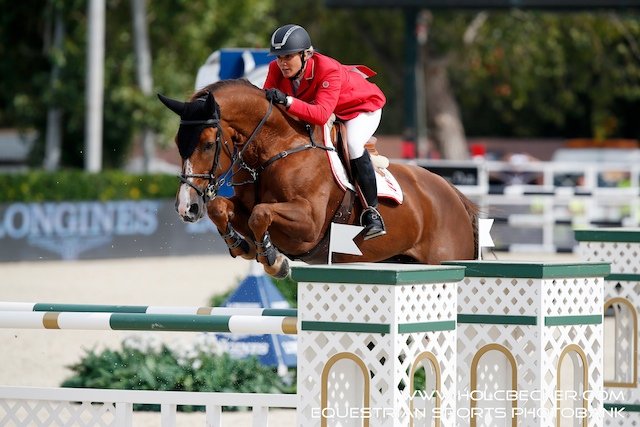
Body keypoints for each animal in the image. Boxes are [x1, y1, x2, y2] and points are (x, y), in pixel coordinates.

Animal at [156, 79, 476, 278]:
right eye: (177, 142)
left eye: (208, 144)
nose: (186, 208)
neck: (277, 147)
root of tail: (454, 195)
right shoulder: (243, 206)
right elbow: (221, 208)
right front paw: (241, 246)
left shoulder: (308, 225)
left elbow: (260, 214)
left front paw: (273, 260)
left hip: (445, 255)